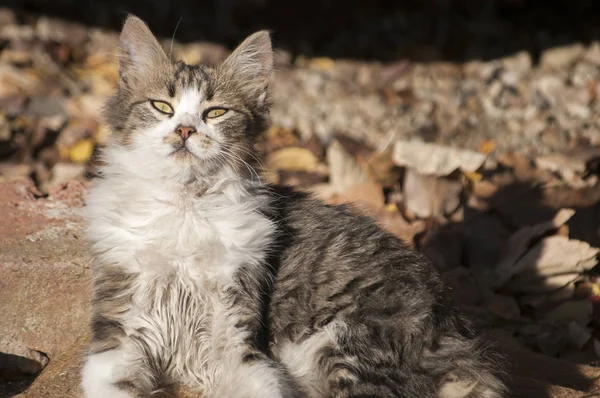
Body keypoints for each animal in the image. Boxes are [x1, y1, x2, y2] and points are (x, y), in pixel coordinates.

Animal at [82, 15, 506, 398]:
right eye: (161, 106)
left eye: (215, 112)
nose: (185, 130)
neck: (187, 206)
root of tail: (453, 333)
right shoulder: (120, 332)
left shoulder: (240, 339)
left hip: (353, 345)